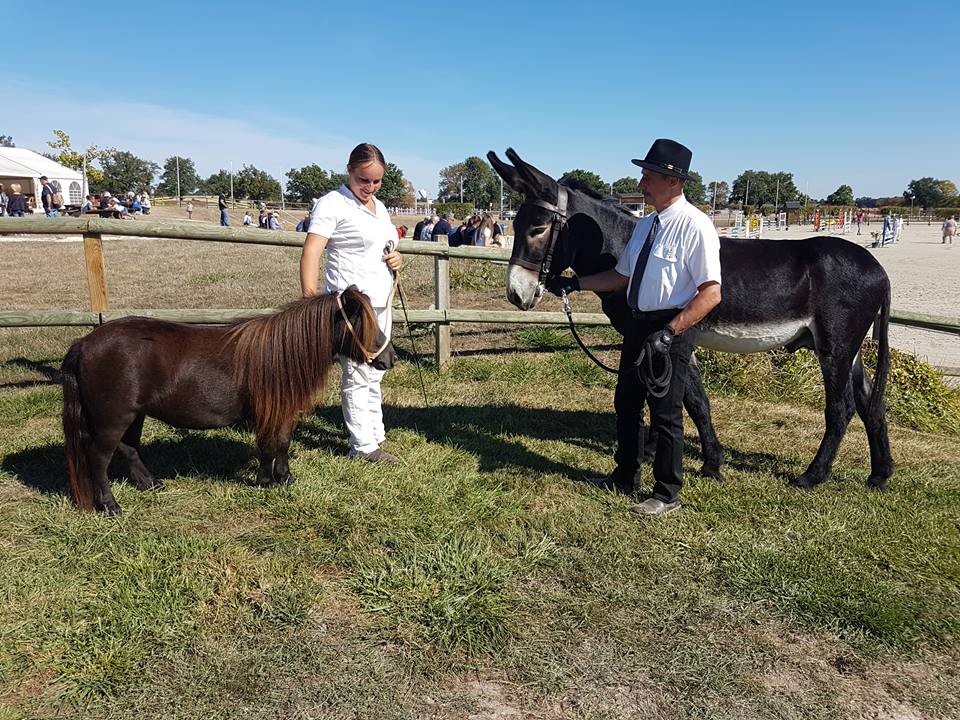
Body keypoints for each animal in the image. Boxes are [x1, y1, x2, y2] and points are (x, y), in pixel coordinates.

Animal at [61, 284, 386, 516]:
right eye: (363, 324)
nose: (389, 359)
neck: (281, 355)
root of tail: (83, 344)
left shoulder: (284, 412)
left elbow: (282, 443)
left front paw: (285, 478)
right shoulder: (268, 414)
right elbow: (268, 447)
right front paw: (266, 482)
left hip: (133, 415)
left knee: (129, 449)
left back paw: (150, 484)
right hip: (112, 420)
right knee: (99, 458)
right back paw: (110, 505)